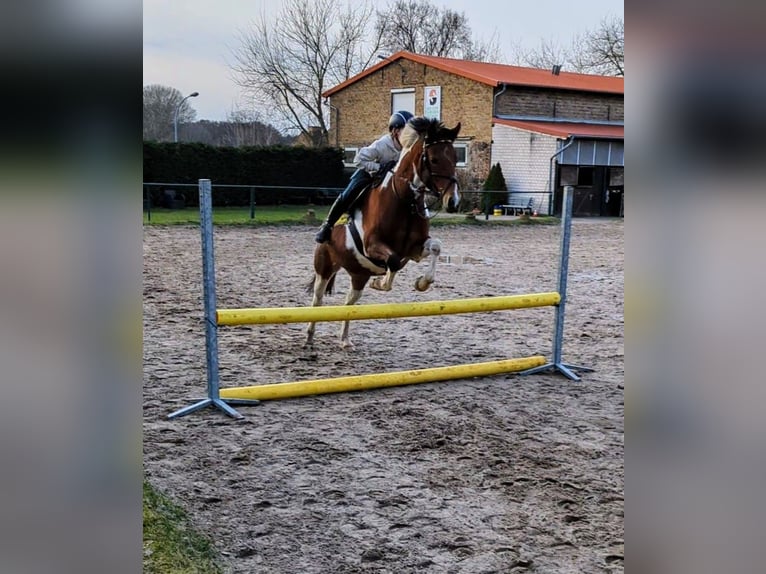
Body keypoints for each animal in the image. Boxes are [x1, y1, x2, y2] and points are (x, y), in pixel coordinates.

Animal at [306, 116, 462, 352]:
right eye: (434, 160)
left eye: (455, 157)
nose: (452, 202)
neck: (404, 199)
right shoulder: (373, 246)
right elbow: (394, 262)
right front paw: (379, 283)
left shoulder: (415, 249)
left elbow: (435, 247)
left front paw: (422, 283)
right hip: (324, 267)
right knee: (318, 299)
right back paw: (309, 335)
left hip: (358, 274)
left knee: (348, 302)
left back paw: (344, 339)